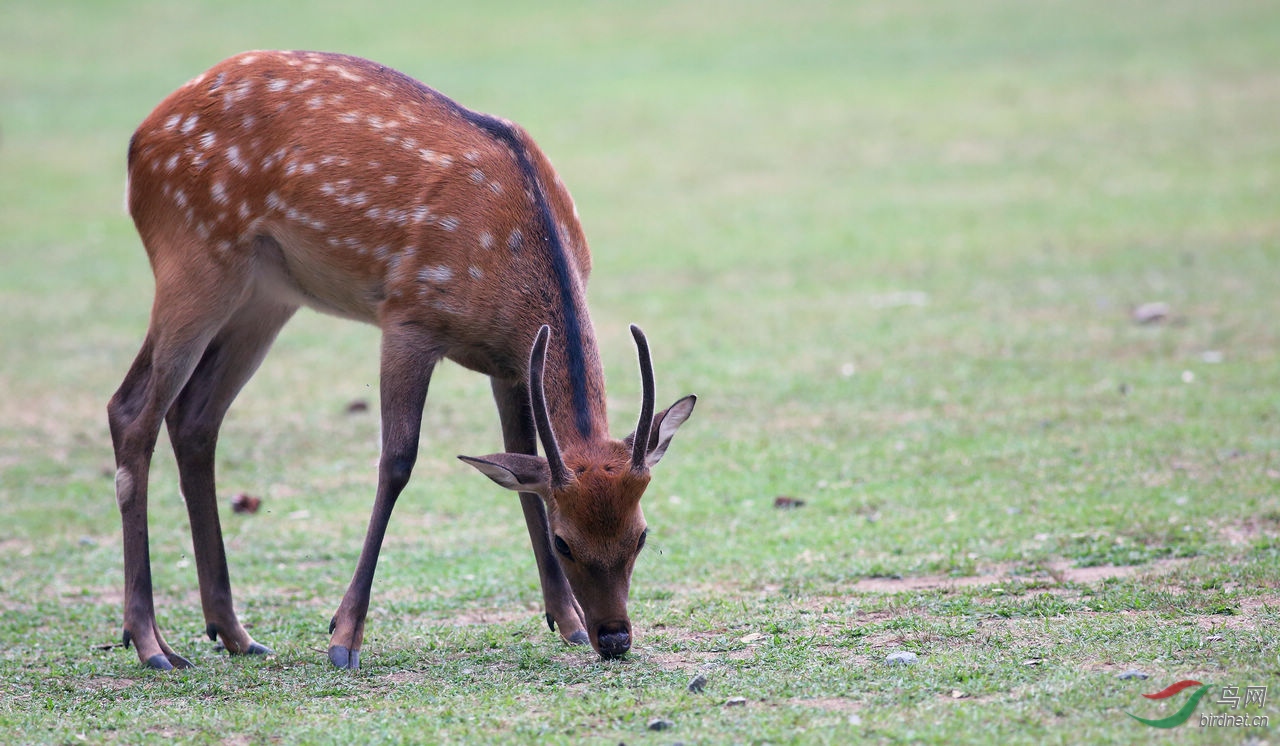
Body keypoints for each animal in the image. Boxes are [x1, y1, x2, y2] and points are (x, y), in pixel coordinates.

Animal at [104, 51, 696, 670]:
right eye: (565, 542)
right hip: (192, 255)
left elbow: (520, 461)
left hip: (267, 294)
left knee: (195, 416)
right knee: (131, 411)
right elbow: (397, 461)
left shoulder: (510, 364)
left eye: (641, 535)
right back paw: (149, 642)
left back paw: (234, 632)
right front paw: (343, 638)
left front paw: (568, 621)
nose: (615, 637)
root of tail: (139, 139)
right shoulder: (408, 318)